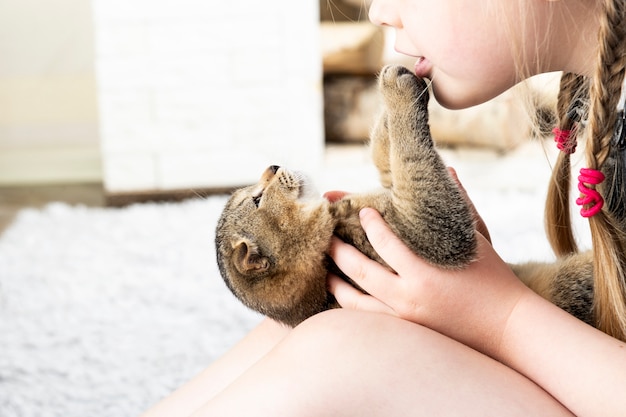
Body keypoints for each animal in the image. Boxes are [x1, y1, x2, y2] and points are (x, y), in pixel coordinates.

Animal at [214, 64, 588, 324]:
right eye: (257, 199)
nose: (273, 165)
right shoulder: (426, 229)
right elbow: (413, 159)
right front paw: (400, 89)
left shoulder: (393, 188)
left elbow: (390, 157)